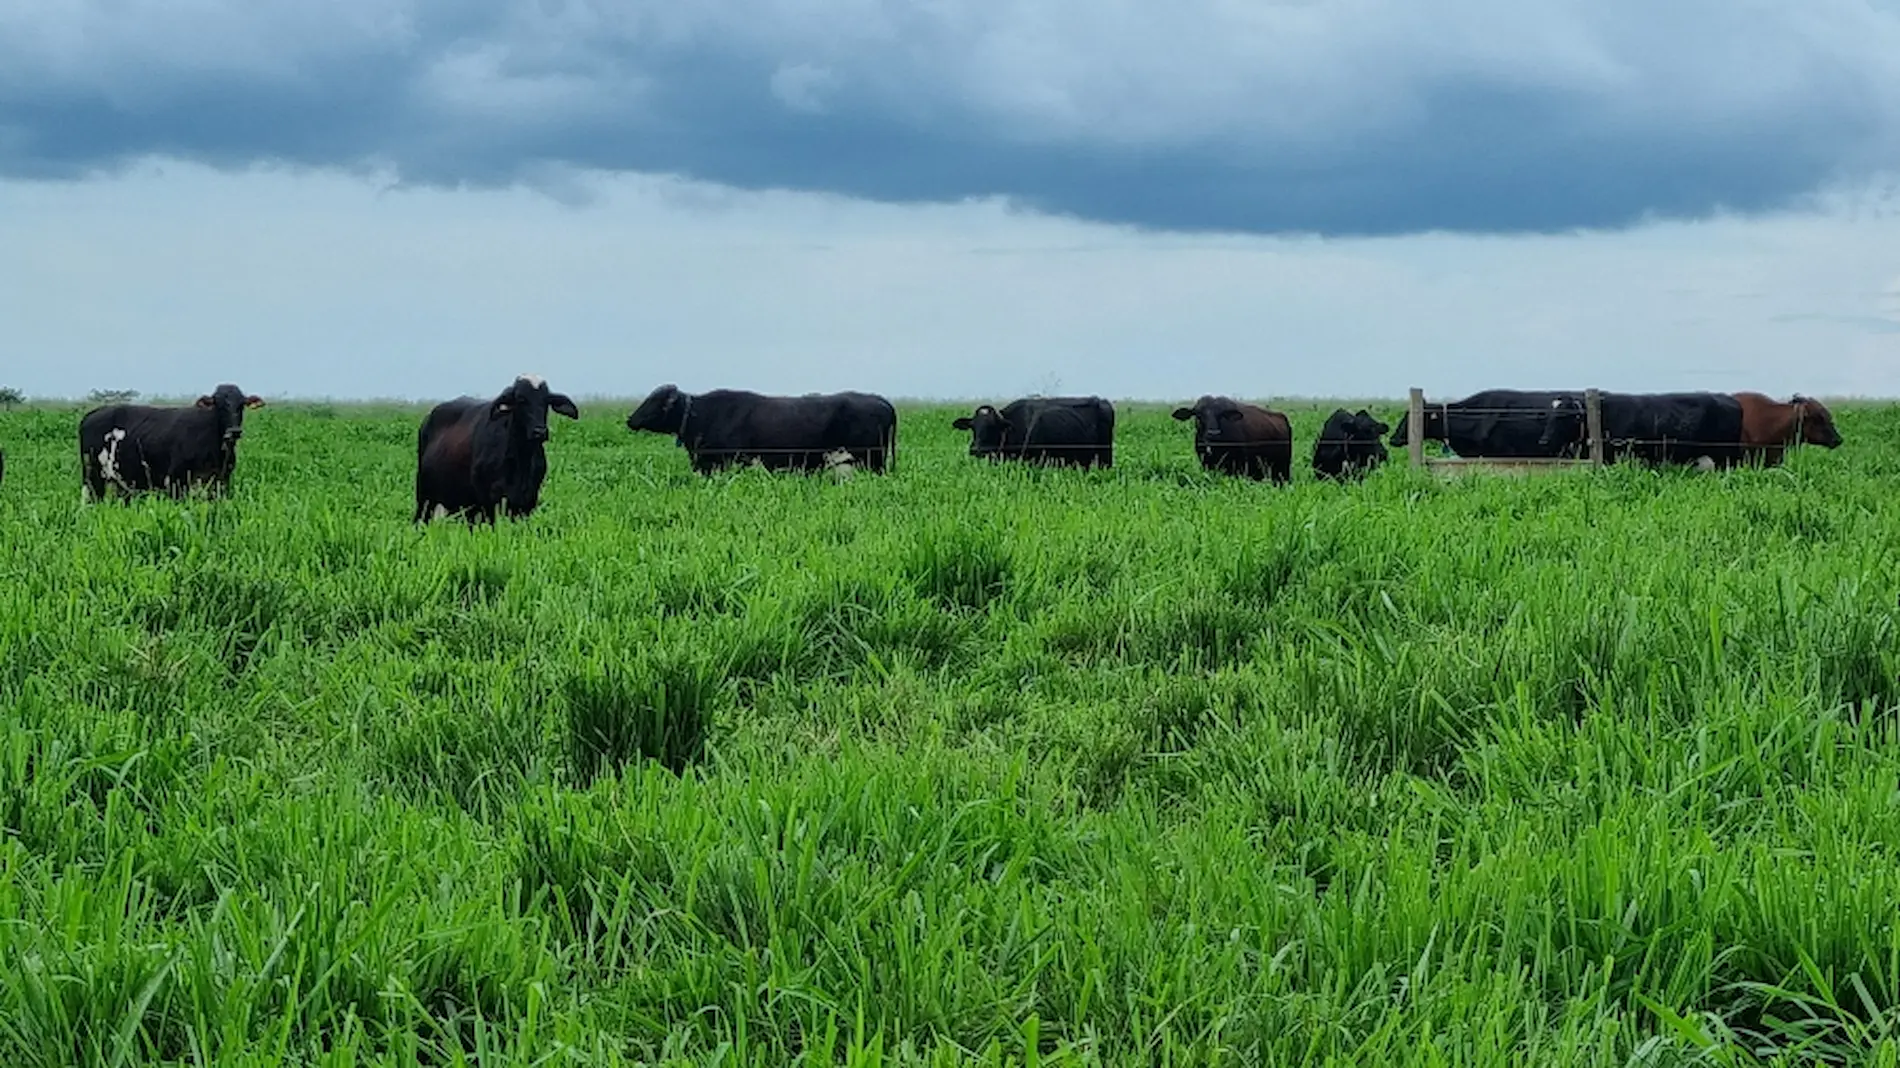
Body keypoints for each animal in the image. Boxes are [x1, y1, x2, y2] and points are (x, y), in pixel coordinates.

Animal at [79, 383, 265, 501]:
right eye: (219, 405)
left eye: (241, 404)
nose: (234, 431)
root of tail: (91, 415)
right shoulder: (176, 481)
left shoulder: (222, 480)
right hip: (92, 477)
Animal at [414, 374, 579, 524]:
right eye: (521, 399)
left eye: (546, 401)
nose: (540, 431)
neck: (520, 460)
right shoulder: (488, 502)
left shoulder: (527, 502)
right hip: (425, 498)